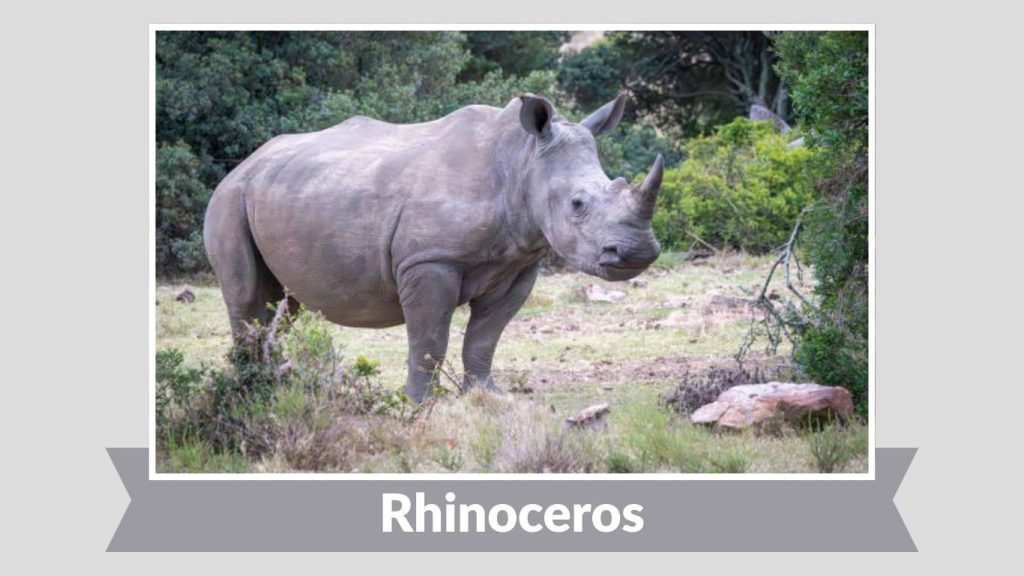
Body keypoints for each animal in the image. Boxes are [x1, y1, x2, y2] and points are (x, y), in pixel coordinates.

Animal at [204, 92, 663, 402]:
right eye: (577, 204)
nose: (636, 253)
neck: (520, 161)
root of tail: (245, 163)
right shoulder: (430, 261)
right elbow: (429, 338)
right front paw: (418, 403)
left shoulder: (518, 264)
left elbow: (484, 337)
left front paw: (488, 395)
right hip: (228, 199)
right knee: (246, 299)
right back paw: (254, 391)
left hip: (281, 191)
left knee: (282, 307)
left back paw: (277, 385)